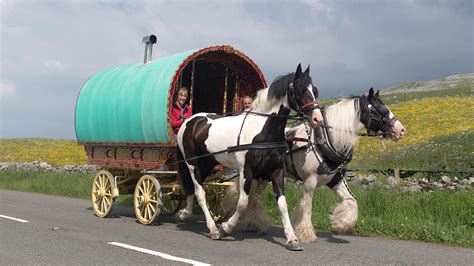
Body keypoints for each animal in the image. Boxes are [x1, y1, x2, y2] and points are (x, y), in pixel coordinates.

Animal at [176, 64, 324, 249]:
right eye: (301, 90)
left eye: (315, 90)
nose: (318, 119)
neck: (262, 131)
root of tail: (190, 121)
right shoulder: (246, 171)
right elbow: (243, 202)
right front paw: (225, 228)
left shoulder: (276, 170)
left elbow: (282, 204)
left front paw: (292, 238)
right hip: (192, 164)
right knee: (199, 191)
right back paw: (212, 228)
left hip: (207, 163)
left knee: (192, 188)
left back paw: (185, 213)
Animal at [237, 88, 408, 243]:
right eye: (381, 111)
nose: (401, 130)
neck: (323, 141)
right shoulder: (310, 181)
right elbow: (307, 206)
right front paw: (306, 233)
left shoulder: (335, 180)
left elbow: (352, 201)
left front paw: (339, 224)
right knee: (253, 197)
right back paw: (253, 223)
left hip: (265, 176)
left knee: (254, 198)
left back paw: (253, 223)